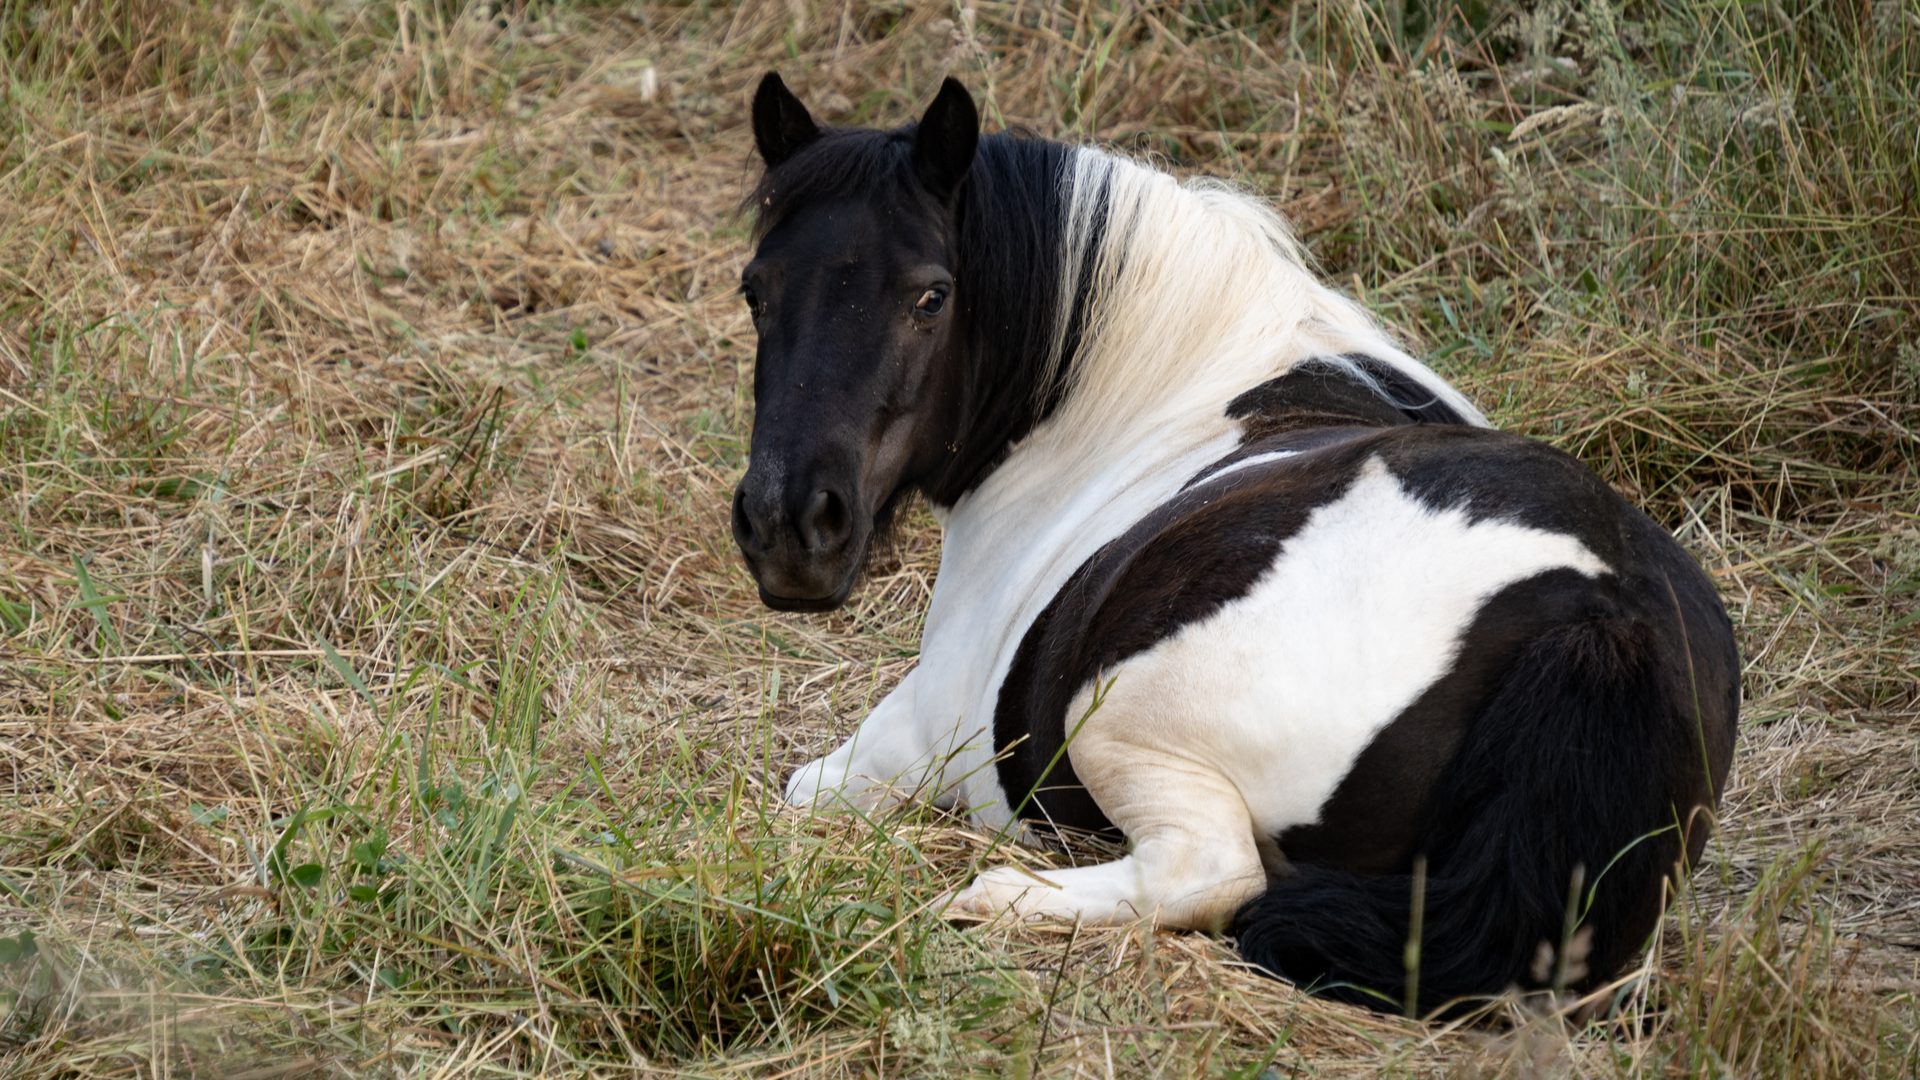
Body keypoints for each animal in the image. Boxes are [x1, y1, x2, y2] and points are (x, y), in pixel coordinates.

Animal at [728, 72, 1740, 1014]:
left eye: (931, 296)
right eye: (754, 291)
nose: (788, 528)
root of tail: (1604, 621)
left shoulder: (914, 733)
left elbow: (808, 787)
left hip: (1121, 721)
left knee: (1207, 873)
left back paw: (999, 896)